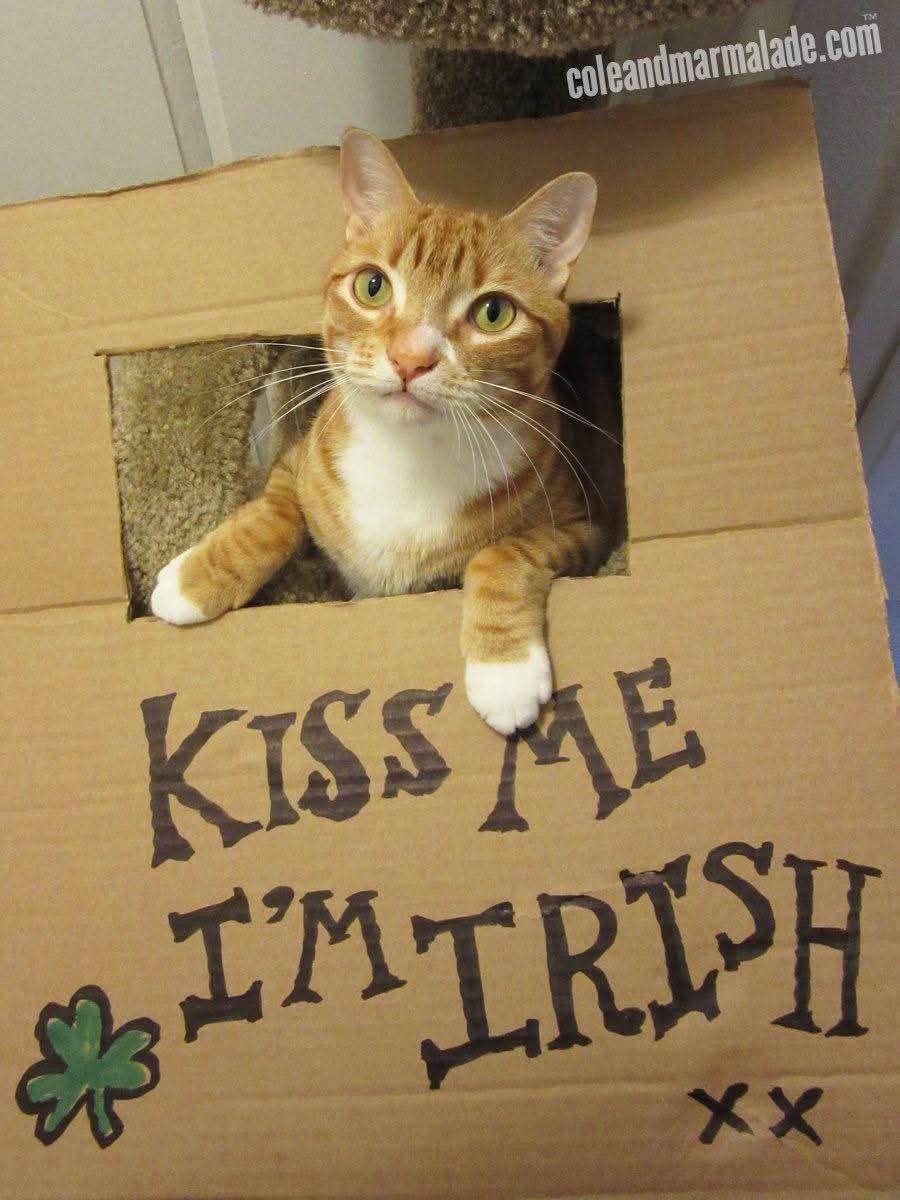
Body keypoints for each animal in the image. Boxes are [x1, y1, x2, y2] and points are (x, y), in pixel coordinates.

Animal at [151, 127, 604, 736]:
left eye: (493, 313)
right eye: (372, 287)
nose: (411, 359)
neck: (408, 457)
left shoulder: (584, 528)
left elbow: (503, 552)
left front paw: (503, 670)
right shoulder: (300, 459)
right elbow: (273, 516)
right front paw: (191, 583)